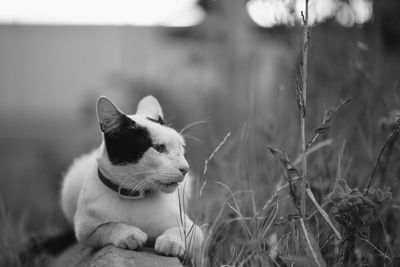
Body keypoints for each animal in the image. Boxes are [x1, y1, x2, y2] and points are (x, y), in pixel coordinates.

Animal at [61, 95, 205, 264]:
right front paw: (129, 234)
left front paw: (170, 242)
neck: (132, 193)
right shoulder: (84, 231)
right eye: (159, 148)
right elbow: (109, 226)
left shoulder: (194, 230)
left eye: (181, 147)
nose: (185, 168)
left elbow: (180, 230)